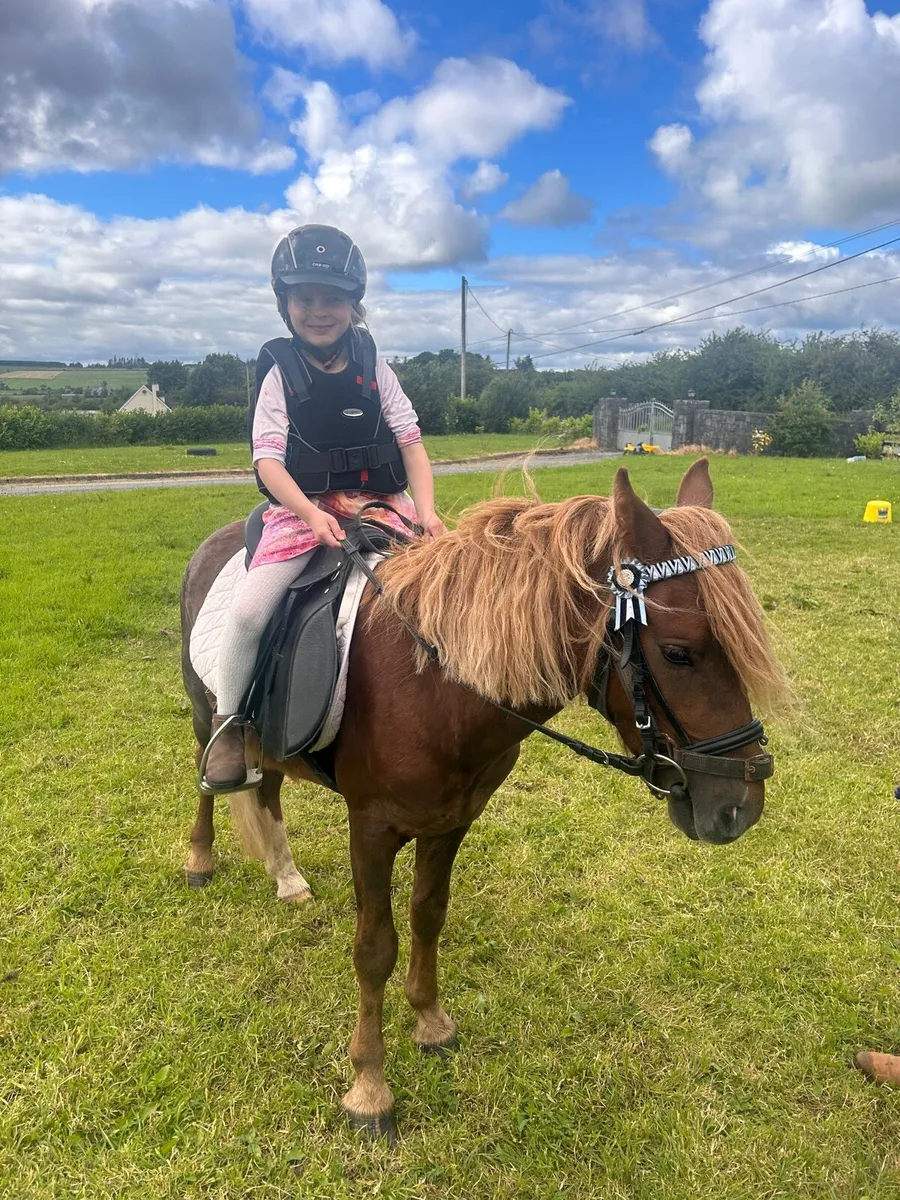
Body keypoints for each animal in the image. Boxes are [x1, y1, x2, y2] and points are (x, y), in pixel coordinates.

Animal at [180, 458, 785, 1142]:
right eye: (678, 652)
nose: (739, 805)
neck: (435, 684)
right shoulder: (372, 828)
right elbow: (373, 950)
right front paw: (369, 1088)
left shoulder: (452, 820)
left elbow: (428, 916)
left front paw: (430, 1021)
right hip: (208, 716)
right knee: (209, 779)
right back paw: (200, 859)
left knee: (270, 789)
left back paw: (287, 878)